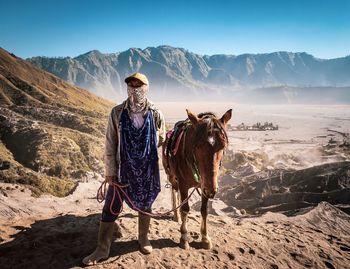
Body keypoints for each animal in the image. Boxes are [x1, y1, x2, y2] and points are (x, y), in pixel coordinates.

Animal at [162, 108, 232, 248]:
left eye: (223, 146)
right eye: (198, 146)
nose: (212, 191)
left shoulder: (205, 186)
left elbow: (204, 210)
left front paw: (205, 238)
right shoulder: (184, 185)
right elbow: (185, 209)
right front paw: (184, 237)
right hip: (172, 176)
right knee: (174, 191)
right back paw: (176, 216)